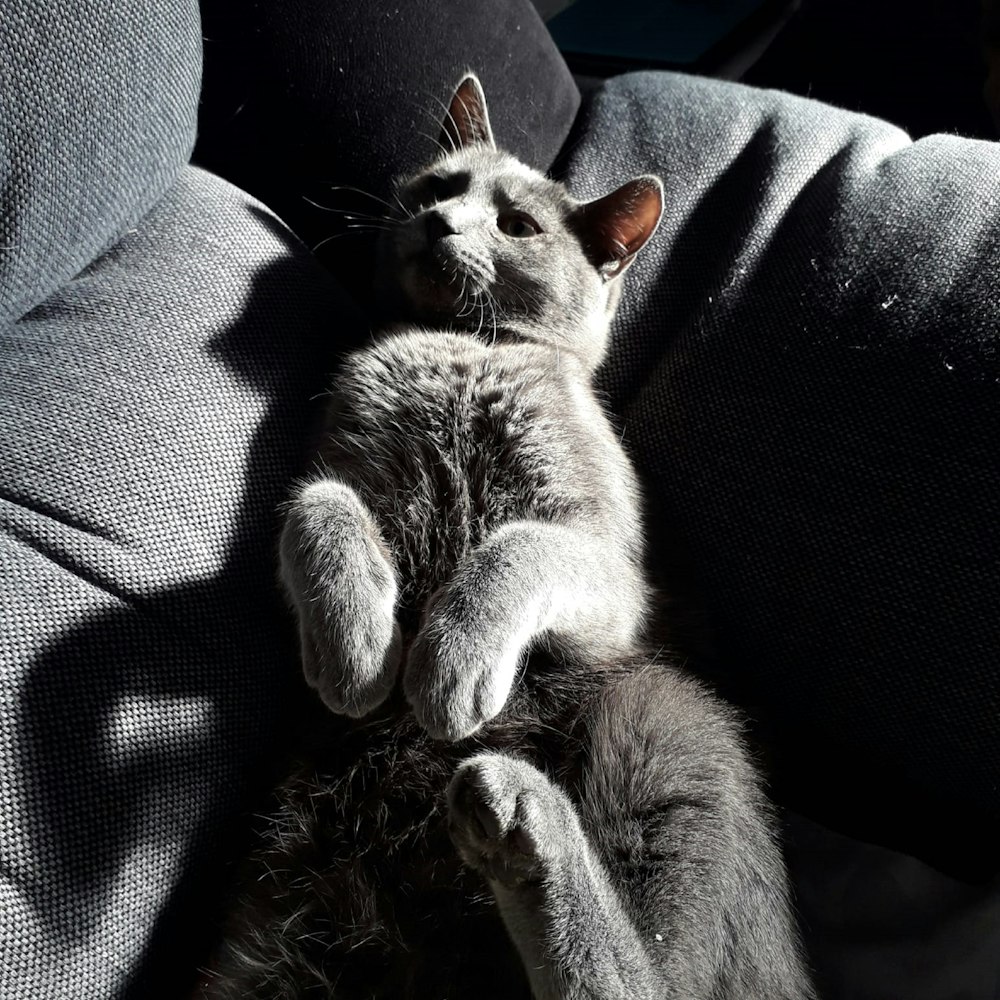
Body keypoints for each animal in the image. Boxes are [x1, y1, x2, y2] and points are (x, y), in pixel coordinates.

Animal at [201, 74, 812, 996]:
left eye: (519, 226)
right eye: (442, 185)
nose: (441, 223)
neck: (462, 351)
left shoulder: (613, 575)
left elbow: (519, 549)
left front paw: (446, 665)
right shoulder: (335, 465)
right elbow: (320, 508)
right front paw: (355, 649)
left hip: (662, 710)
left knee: (650, 978)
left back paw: (521, 821)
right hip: (254, 941)